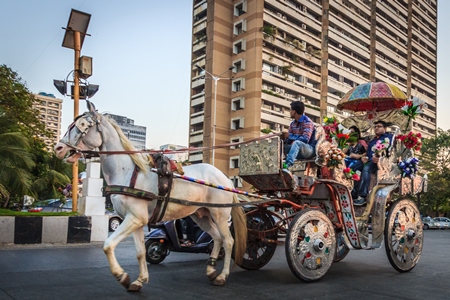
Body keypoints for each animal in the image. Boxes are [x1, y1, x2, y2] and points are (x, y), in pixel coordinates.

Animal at [55, 101, 250, 290]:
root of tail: (225, 179)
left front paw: (122, 275)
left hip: (220, 214)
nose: (58, 148)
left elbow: (108, 245)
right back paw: (211, 270)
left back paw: (222, 275)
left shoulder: (135, 218)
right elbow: (141, 252)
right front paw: (139, 280)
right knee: (217, 238)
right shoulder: (136, 220)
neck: (127, 171)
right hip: (201, 215)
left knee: (228, 241)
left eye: (82, 124)